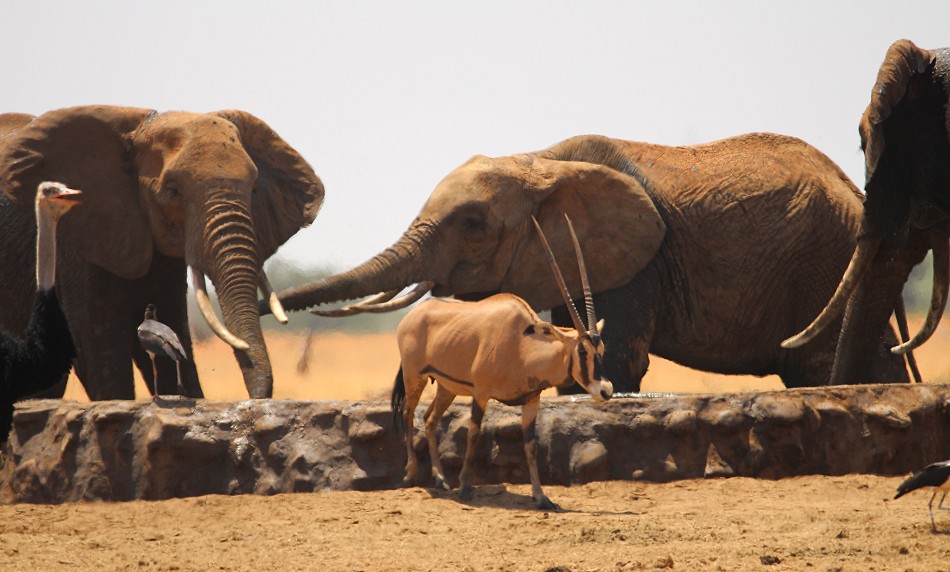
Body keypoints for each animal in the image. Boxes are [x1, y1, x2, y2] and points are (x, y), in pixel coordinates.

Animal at [268, 132, 916, 392]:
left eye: (472, 225)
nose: (271, 300)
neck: (540, 160)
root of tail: (853, 188)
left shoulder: (638, 263)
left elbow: (615, 359)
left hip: (822, 263)